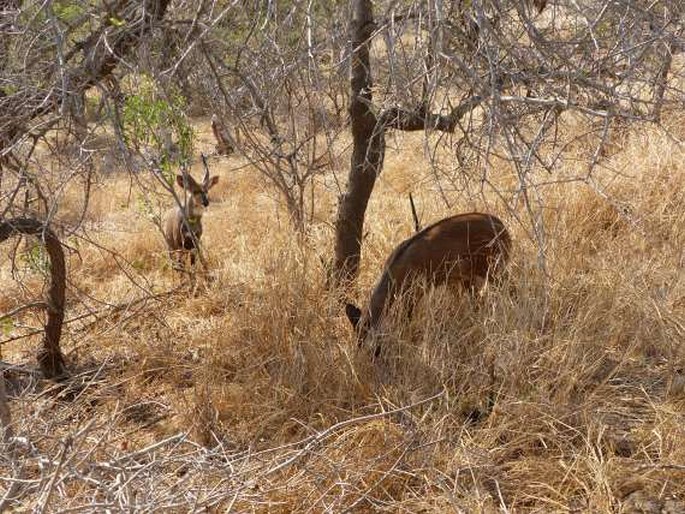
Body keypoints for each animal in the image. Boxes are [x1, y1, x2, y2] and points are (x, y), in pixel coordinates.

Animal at [344, 211, 510, 352]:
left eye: (365, 338)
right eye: (357, 336)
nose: (363, 352)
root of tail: (502, 226)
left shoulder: (416, 292)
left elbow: (406, 318)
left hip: (495, 271)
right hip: (469, 277)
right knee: (478, 301)